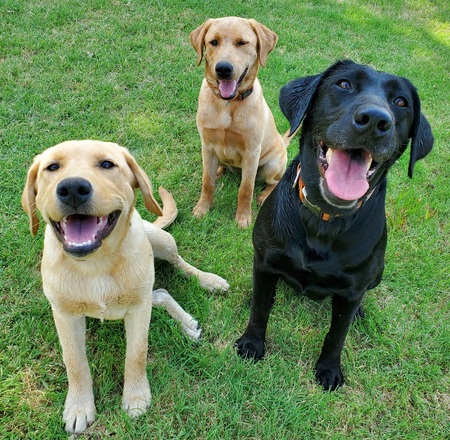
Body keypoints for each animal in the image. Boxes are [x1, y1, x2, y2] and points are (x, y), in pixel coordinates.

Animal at [21, 141, 229, 434]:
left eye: (107, 164)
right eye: (52, 167)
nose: (72, 188)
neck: (95, 264)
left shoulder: (139, 310)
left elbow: (137, 354)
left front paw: (136, 397)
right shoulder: (64, 315)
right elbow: (75, 362)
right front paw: (78, 407)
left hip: (160, 243)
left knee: (179, 266)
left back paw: (205, 287)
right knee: (160, 293)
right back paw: (188, 323)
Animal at [190, 17, 288, 229]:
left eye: (242, 42)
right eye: (213, 42)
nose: (223, 69)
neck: (227, 104)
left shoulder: (251, 151)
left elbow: (246, 188)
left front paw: (243, 218)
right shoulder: (207, 145)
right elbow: (207, 181)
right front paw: (202, 209)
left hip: (272, 165)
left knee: (274, 182)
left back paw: (264, 196)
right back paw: (220, 170)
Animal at [237, 60, 434, 390]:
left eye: (401, 102)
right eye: (344, 85)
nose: (374, 120)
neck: (324, 218)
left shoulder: (353, 289)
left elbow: (337, 334)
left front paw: (329, 369)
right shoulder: (263, 259)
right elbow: (260, 310)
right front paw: (252, 343)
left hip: (377, 274)